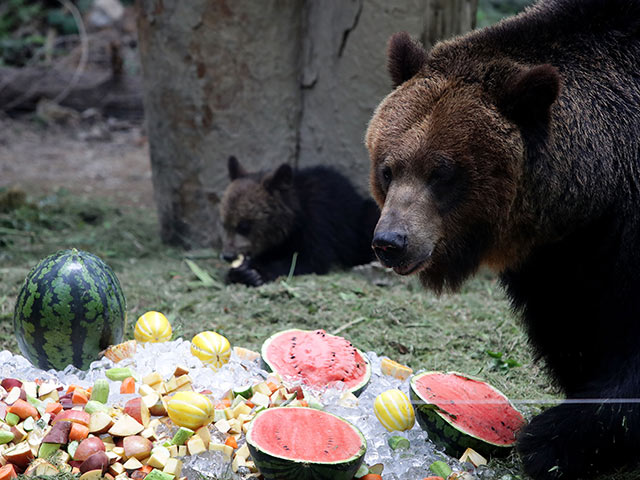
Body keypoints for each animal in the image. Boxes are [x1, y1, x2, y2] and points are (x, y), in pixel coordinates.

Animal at [220, 157, 380, 284]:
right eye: (225, 224)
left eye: (243, 226)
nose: (227, 255)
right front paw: (240, 271)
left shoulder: (320, 220)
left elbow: (310, 259)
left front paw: (253, 273)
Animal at [368, 0, 640, 480]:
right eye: (388, 168)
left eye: (441, 172)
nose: (391, 241)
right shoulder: (559, 255)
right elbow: (571, 328)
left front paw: (552, 438)